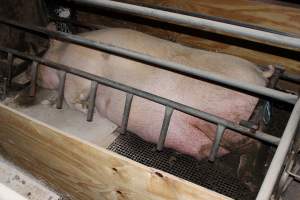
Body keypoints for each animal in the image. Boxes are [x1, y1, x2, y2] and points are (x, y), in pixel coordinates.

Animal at [36, 27, 270, 159]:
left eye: (44, 52)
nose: (36, 79)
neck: (65, 53)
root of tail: (260, 76)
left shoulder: (82, 71)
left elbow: (71, 96)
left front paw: (84, 108)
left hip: (218, 117)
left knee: (247, 142)